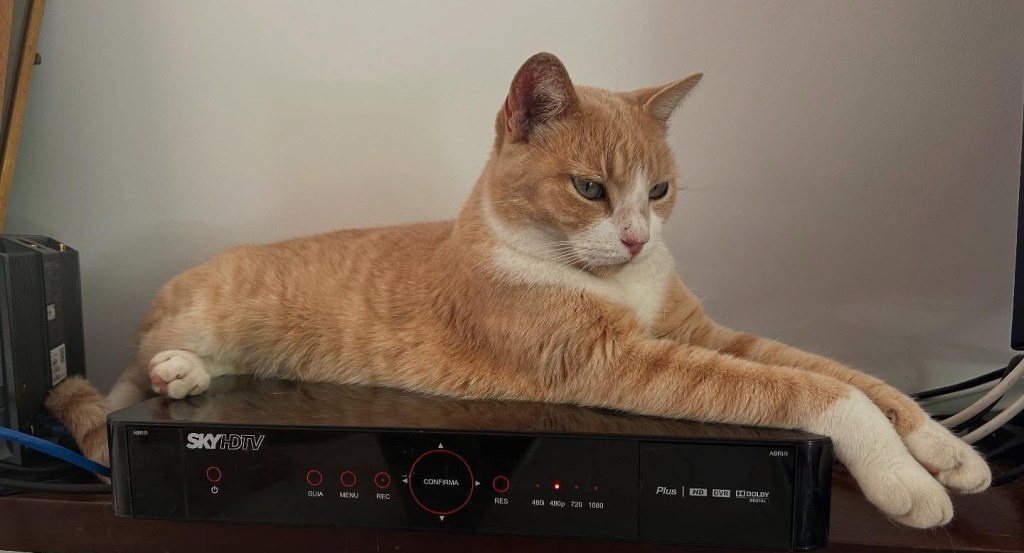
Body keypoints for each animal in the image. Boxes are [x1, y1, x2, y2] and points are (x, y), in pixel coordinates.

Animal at [47, 52, 989, 528]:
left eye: (658, 191)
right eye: (590, 189)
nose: (638, 236)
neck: (622, 282)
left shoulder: (703, 333)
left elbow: (851, 375)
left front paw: (944, 448)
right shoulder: (621, 362)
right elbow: (818, 391)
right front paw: (903, 481)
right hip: (197, 320)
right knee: (122, 380)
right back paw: (168, 372)